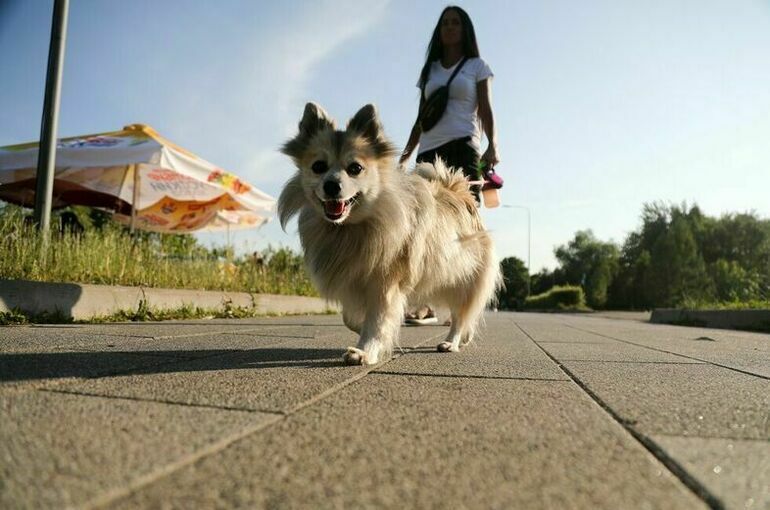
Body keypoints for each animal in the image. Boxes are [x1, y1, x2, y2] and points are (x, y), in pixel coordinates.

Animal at [280, 103, 500, 364]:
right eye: (318, 167)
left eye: (355, 169)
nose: (331, 185)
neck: (350, 228)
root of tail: (460, 194)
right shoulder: (355, 281)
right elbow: (351, 317)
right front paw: (366, 330)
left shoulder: (385, 283)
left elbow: (378, 319)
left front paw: (365, 350)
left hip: (462, 278)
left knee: (460, 315)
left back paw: (452, 342)